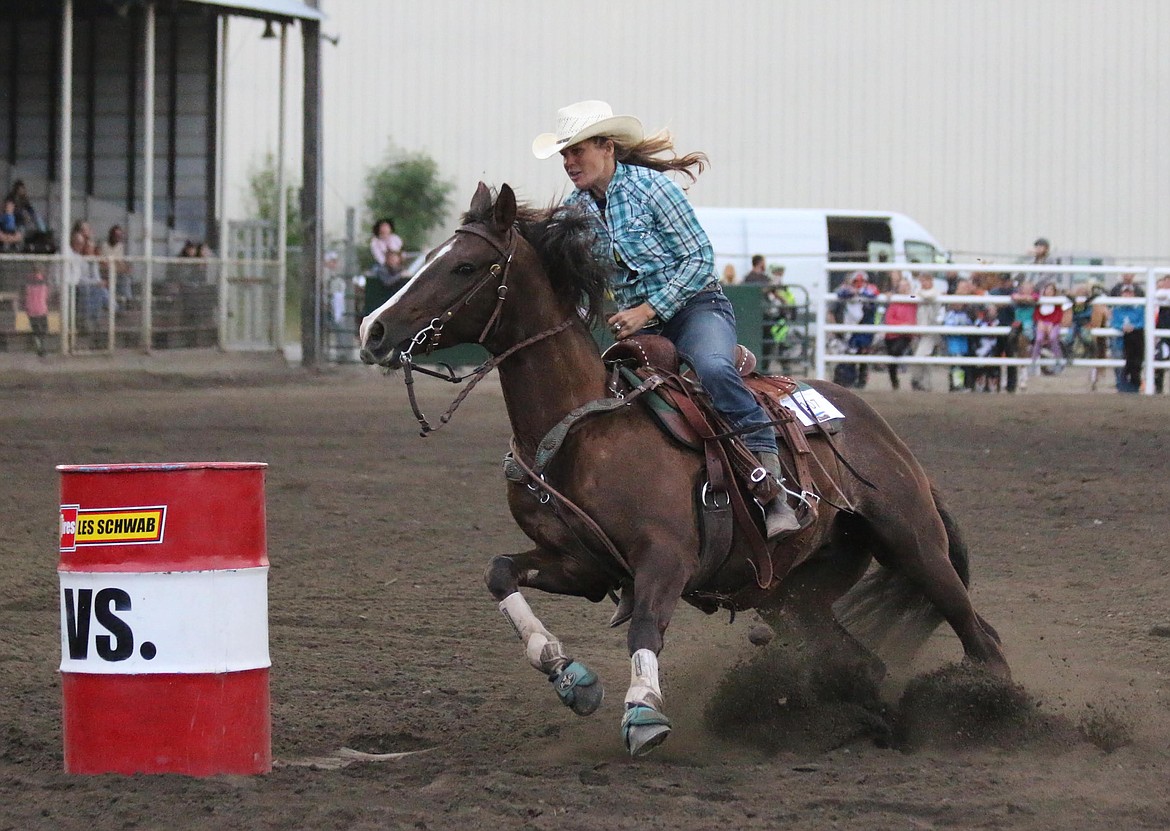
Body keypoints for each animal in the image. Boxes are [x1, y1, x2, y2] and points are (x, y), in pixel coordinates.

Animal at [355, 186, 1006, 758]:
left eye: (464, 266)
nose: (372, 330)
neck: (580, 429)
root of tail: (886, 435)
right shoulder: (582, 564)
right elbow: (499, 573)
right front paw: (569, 675)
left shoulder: (665, 559)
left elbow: (644, 626)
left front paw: (643, 712)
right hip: (792, 596)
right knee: (861, 659)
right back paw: (862, 724)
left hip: (913, 544)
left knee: (980, 637)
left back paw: (992, 715)